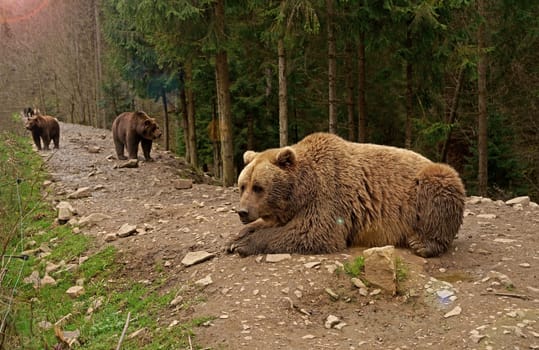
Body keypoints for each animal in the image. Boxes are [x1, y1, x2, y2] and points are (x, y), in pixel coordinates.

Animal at [226, 131, 466, 258]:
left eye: (258, 187)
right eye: (243, 185)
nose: (242, 211)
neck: (302, 190)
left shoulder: (329, 194)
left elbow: (312, 232)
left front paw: (243, 245)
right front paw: (236, 237)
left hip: (426, 186)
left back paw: (422, 243)